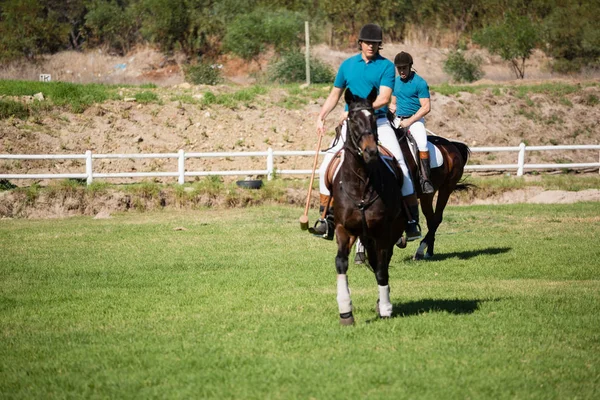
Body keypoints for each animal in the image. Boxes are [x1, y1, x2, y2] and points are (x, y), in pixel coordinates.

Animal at [328, 88, 408, 324]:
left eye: (373, 118)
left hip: (390, 232)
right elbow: (341, 263)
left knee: (382, 263)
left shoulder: (382, 232)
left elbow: (382, 269)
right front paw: (345, 311)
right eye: (353, 120)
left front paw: (386, 308)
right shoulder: (344, 229)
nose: (371, 151)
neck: (361, 183)